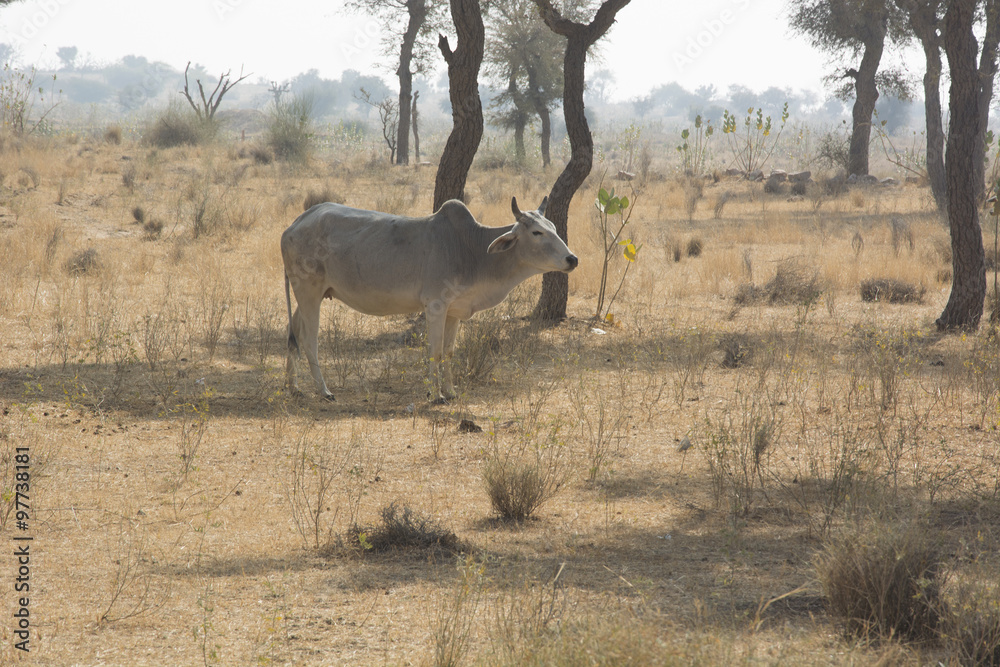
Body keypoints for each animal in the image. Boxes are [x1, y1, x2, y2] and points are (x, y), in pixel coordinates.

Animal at [281, 196, 578, 402]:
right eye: (537, 232)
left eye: (553, 226)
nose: (571, 259)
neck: (471, 250)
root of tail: (294, 225)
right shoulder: (435, 306)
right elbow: (434, 351)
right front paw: (436, 396)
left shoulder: (454, 312)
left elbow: (448, 351)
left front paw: (451, 391)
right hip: (308, 291)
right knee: (309, 340)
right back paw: (324, 391)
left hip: (307, 295)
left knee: (292, 331)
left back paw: (293, 387)